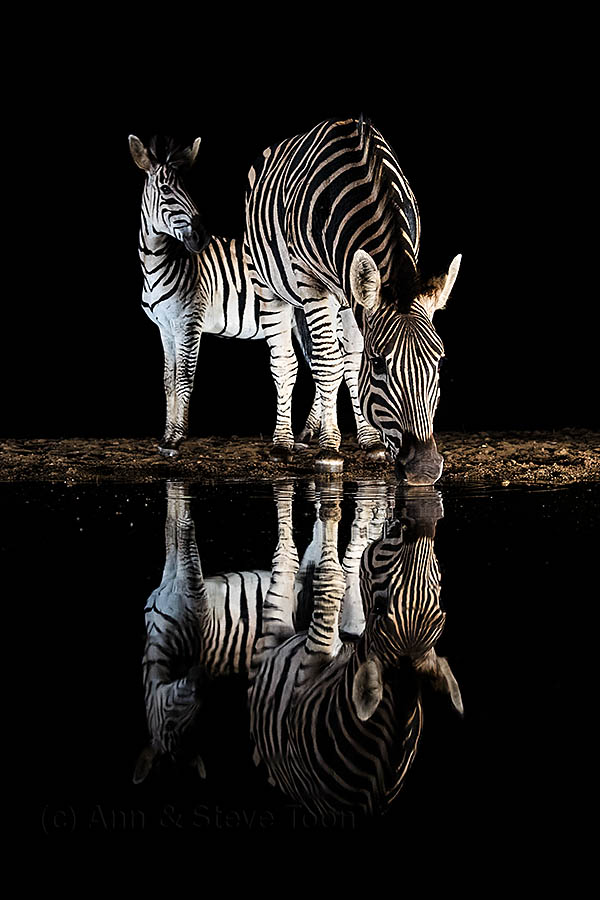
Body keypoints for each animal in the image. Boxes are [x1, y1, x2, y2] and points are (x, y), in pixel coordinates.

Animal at [129, 134, 385, 461]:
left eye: (188, 191)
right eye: (165, 190)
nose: (201, 238)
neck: (162, 263)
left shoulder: (190, 322)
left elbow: (184, 377)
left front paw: (176, 439)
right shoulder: (165, 328)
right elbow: (168, 380)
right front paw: (165, 437)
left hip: (338, 311)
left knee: (346, 365)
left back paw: (367, 440)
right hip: (304, 318)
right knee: (328, 366)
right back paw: (305, 434)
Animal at [245, 116, 462, 480]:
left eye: (440, 361)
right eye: (379, 365)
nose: (424, 469)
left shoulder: (357, 296)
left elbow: (348, 363)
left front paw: (370, 441)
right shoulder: (312, 282)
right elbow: (327, 363)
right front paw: (329, 450)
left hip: (343, 300)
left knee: (340, 358)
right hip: (267, 283)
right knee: (287, 362)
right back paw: (283, 443)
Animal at [248, 485, 462, 820]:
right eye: (441, 611)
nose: (421, 526)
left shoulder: (308, 666)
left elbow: (332, 577)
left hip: (273, 630)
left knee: (293, 560)